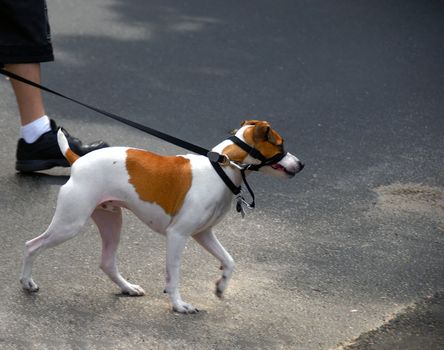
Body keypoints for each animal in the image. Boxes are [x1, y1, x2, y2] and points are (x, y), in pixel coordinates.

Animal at [21, 121, 306, 314]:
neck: (221, 167)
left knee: (107, 262)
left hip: (111, 222)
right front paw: (179, 305)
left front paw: (221, 285)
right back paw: (27, 282)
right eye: (280, 144)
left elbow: (229, 260)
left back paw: (128, 287)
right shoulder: (177, 235)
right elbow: (174, 275)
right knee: (32, 246)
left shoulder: (203, 234)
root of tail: (77, 160)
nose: (302, 164)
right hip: (69, 224)